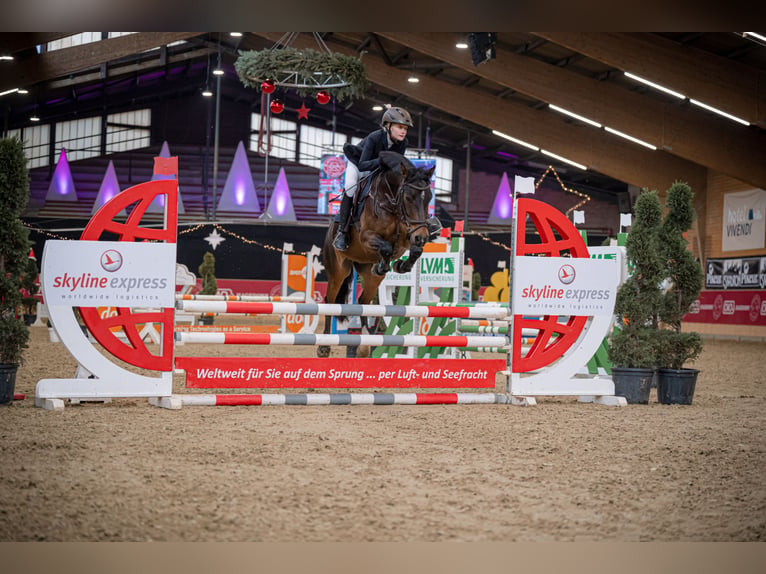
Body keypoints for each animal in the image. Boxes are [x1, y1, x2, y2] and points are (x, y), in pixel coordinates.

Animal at [318, 153, 438, 360]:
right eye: (408, 197)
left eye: (429, 197)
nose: (422, 237)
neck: (391, 201)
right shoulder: (367, 236)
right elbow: (387, 247)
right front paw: (385, 264)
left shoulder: (408, 235)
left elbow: (414, 250)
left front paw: (400, 266)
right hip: (338, 270)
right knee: (330, 300)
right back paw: (324, 346)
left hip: (370, 278)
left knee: (363, 302)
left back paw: (365, 344)